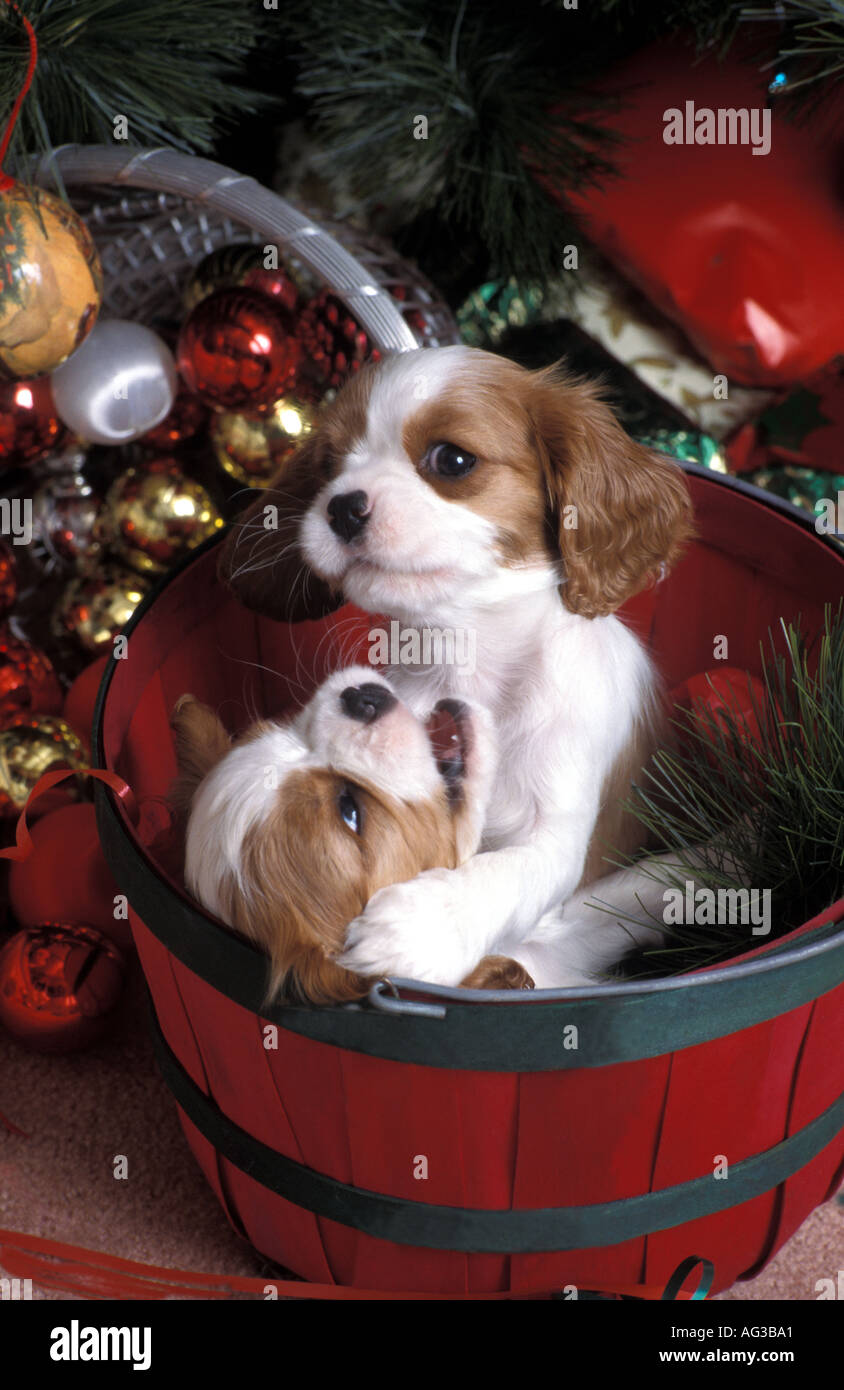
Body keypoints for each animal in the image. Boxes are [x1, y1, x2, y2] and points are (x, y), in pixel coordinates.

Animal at [216, 344, 692, 989]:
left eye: (452, 459)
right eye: (328, 464)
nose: (342, 506)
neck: (468, 652)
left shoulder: (559, 826)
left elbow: (510, 871)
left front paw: (422, 926)